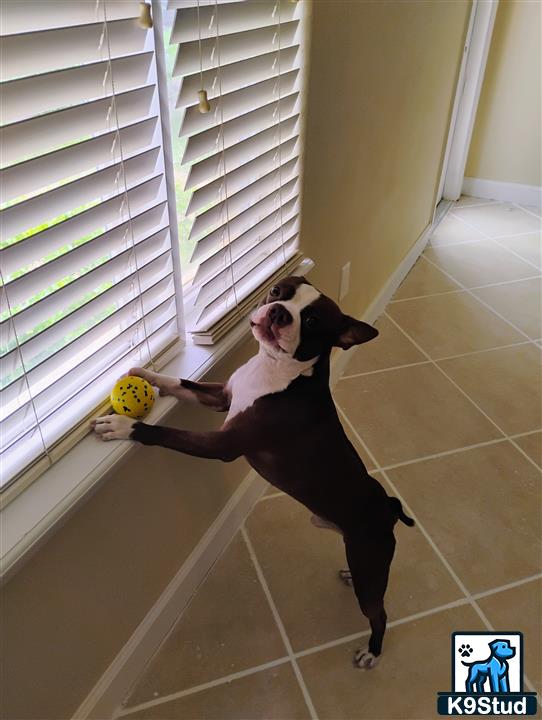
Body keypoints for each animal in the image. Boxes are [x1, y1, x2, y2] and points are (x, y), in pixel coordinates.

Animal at [92, 276, 416, 668]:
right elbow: (181, 384)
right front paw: (146, 373)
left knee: (378, 612)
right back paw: (348, 576)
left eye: (312, 321)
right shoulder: (222, 397)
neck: (276, 370)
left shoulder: (223, 445)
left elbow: (164, 434)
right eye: (279, 292)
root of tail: (389, 505)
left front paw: (122, 427)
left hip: (370, 562)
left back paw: (372, 650)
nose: (278, 312)